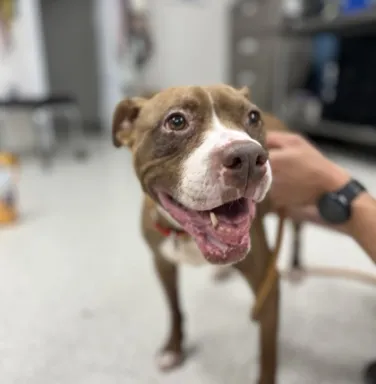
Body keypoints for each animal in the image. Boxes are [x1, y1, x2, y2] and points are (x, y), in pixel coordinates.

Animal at [113, 85, 298, 382]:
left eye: (253, 117)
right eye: (176, 121)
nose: (248, 157)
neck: (186, 236)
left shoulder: (267, 286)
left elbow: (268, 351)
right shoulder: (162, 263)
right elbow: (174, 308)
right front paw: (174, 348)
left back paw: (295, 266)